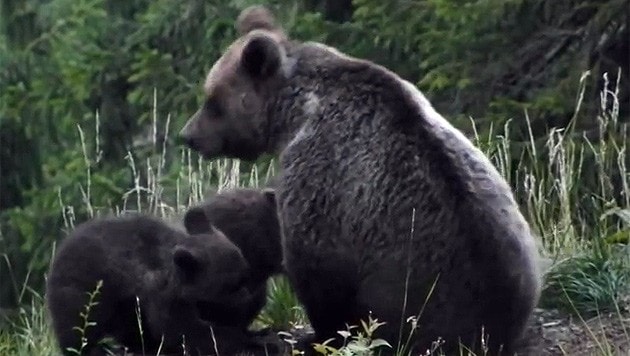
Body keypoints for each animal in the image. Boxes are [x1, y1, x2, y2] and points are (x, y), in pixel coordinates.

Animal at [179, 4, 544, 354]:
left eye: (213, 101)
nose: (188, 135)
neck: (293, 113)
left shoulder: (319, 179)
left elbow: (318, 274)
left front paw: (315, 336)